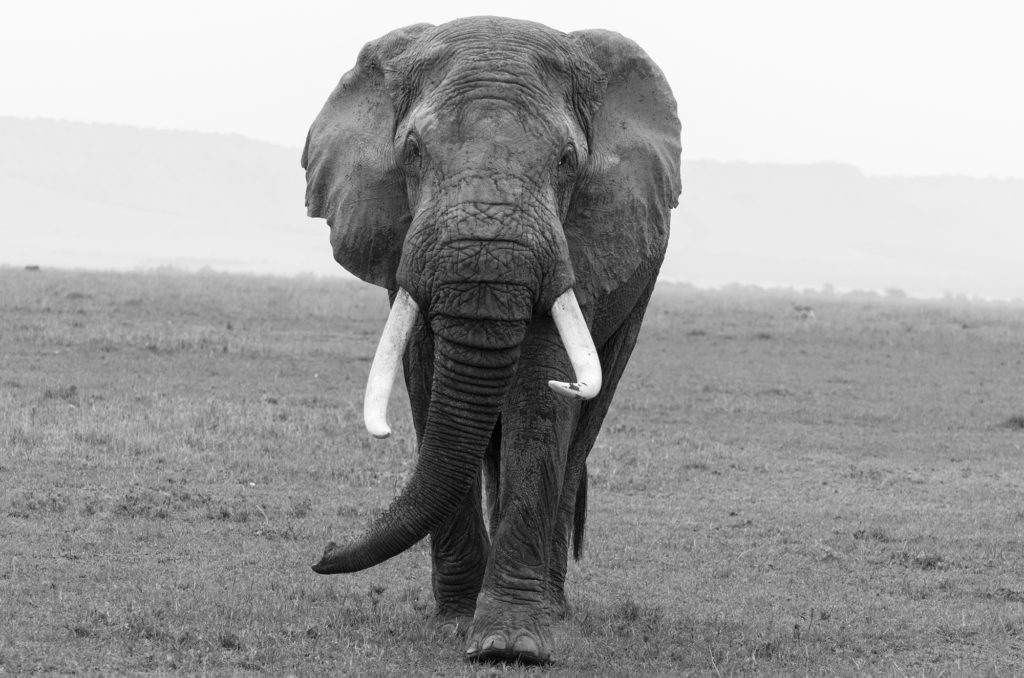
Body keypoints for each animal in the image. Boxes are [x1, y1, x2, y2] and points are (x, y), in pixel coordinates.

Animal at [301, 14, 679, 663]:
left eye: (567, 161)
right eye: (412, 152)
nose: (321, 554)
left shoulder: (580, 239)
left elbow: (540, 396)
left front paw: (511, 644)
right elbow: (430, 385)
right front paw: (456, 621)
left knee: (585, 419)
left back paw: (554, 607)